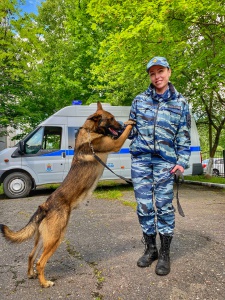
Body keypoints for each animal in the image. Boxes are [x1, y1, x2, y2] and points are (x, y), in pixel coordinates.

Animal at [0, 102, 134, 288]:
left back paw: (31, 274)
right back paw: (45, 283)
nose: (120, 125)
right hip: (56, 238)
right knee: (40, 262)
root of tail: (44, 205)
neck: (90, 131)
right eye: (111, 119)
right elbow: (124, 135)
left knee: (31, 255)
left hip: (42, 239)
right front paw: (130, 123)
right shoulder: (115, 144)